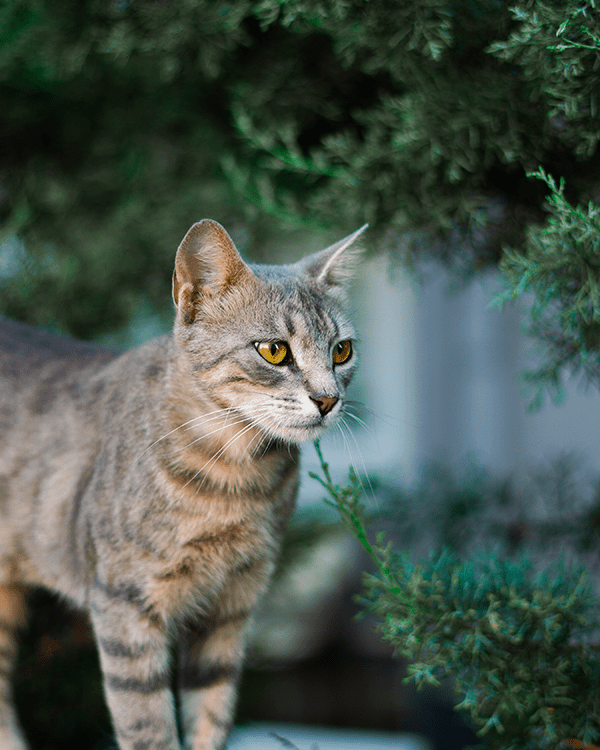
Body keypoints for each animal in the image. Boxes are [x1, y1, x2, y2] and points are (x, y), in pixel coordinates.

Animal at [0, 220, 366, 750]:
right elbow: (149, 727)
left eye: (342, 351)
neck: (234, 483)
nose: (328, 399)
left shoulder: (230, 609)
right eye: (274, 350)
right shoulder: (125, 607)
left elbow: (210, 716)